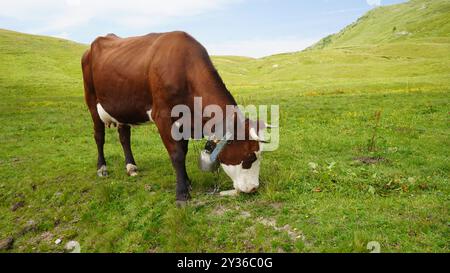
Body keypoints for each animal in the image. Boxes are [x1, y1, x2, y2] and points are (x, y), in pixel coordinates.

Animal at [81, 30, 268, 203]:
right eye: (250, 156)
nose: (253, 188)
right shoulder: (162, 117)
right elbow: (177, 154)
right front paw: (182, 193)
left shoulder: (183, 121)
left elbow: (183, 151)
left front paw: (187, 182)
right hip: (91, 101)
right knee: (99, 136)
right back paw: (102, 168)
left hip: (122, 108)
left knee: (124, 136)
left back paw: (131, 167)